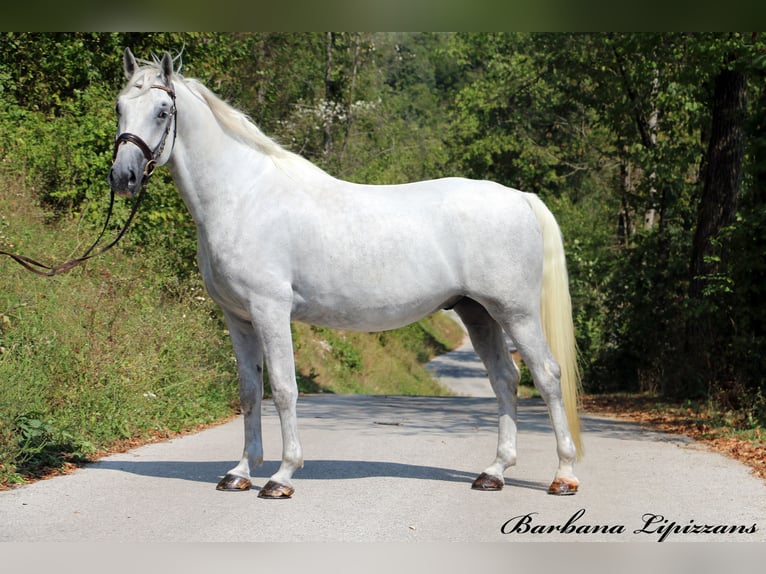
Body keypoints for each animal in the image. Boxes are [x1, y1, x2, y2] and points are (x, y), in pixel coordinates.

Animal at [109, 49, 584, 500]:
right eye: (119, 106)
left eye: (163, 111)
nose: (123, 177)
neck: (243, 197)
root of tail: (520, 197)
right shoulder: (238, 317)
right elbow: (249, 390)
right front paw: (240, 472)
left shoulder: (270, 310)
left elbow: (284, 387)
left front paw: (281, 476)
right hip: (477, 312)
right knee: (505, 379)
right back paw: (494, 472)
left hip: (515, 312)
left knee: (547, 375)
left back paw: (563, 475)